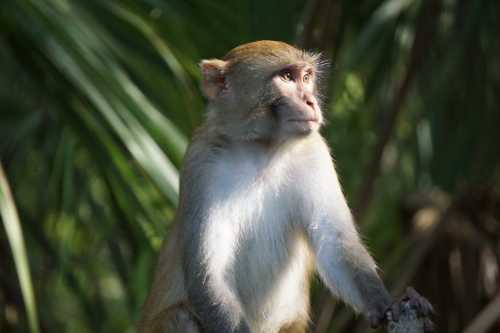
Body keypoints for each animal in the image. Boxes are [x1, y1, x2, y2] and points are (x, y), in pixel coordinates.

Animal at [137, 40, 430, 330]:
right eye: (287, 77)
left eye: (306, 77)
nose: (311, 101)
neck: (264, 150)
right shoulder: (201, 163)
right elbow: (209, 275)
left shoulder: (315, 153)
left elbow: (336, 244)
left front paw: (388, 304)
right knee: (180, 316)